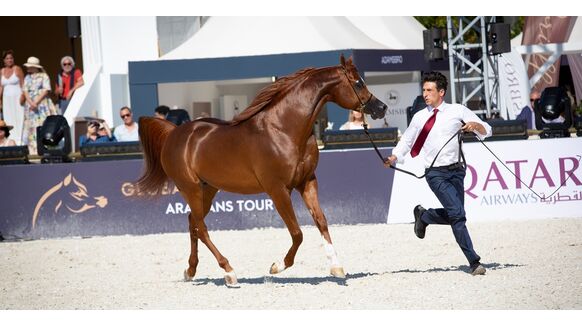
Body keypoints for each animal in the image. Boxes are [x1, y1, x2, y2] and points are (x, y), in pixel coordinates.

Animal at [138, 54, 388, 284]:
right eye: (358, 83)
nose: (381, 107)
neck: (284, 129)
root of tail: (175, 133)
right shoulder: (277, 190)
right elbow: (297, 233)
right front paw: (277, 266)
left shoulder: (307, 181)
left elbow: (322, 221)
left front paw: (336, 267)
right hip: (191, 189)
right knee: (201, 227)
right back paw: (229, 272)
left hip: (208, 189)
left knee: (192, 223)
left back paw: (190, 271)